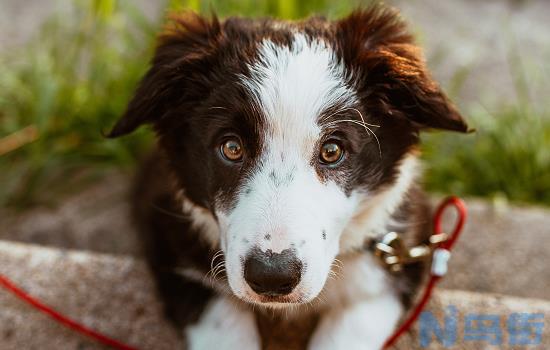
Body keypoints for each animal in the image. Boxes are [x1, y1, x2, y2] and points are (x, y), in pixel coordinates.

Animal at [106, 3, 470, 350]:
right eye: (231, 147)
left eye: (332, 151)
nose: (272, 278)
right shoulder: (168, 235)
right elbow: (222, 323)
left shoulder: (396, 257)